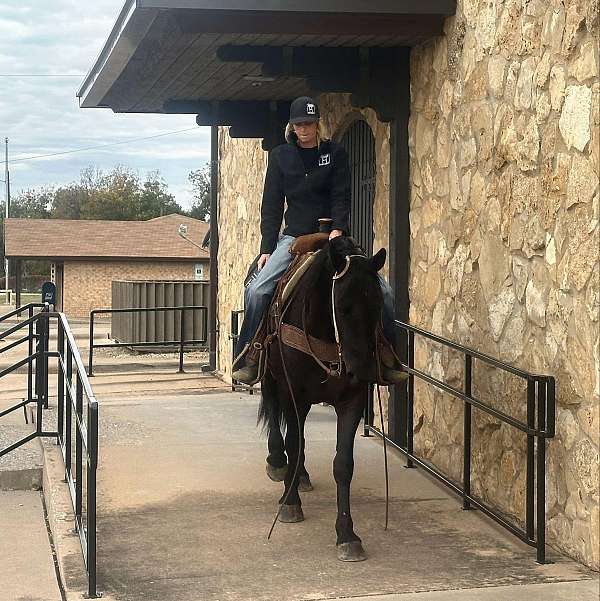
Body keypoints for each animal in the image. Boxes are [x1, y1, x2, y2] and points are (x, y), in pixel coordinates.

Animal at [260, 236, 386, 564]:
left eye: (379, 304)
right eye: (342, 306)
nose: (363, 370)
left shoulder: (352, 401)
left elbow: (343, 464)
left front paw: (347, 534)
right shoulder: (293, 394)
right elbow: (294, 443)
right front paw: (290, 503)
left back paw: (301, 475)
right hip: (272, 380)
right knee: (279, 421)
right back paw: (278, 463)